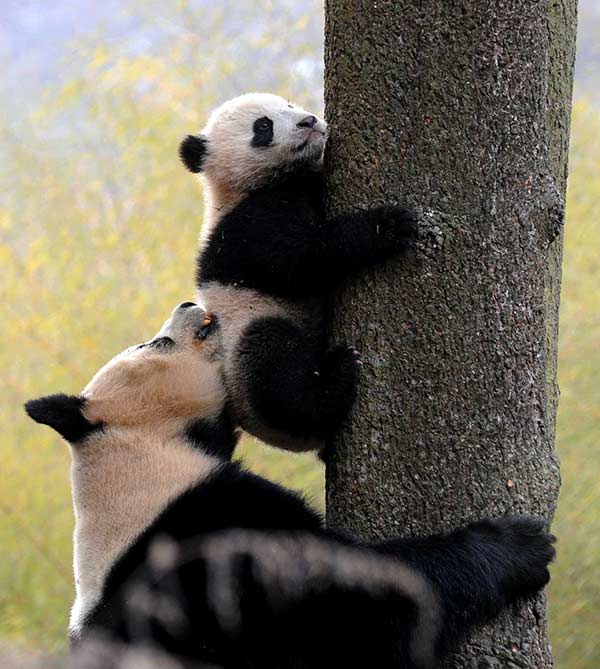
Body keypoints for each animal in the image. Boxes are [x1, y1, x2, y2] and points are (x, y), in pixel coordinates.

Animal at [26, 302, 555, 669]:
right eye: (154, 346)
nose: (187, 304)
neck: (139, 450)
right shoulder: (212, 534)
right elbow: (352, 608)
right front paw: (519, 545)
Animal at [179, 92, 418, 453]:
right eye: (263, 126)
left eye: (288, 106)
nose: (308, 121)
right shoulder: (246, 231)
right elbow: (300, 262)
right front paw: (387, 226)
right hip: (245, 336)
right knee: (275, 371)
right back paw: (336, 378)